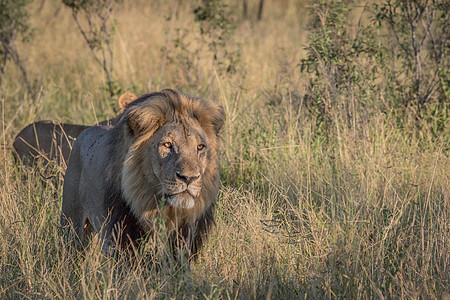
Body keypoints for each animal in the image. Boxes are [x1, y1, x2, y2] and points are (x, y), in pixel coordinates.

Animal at [60, 88, 225, 258]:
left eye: (200, 147)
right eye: (167, 145)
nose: (189, 178)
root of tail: (85, 131)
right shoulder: (121, 238)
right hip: (72, 224)